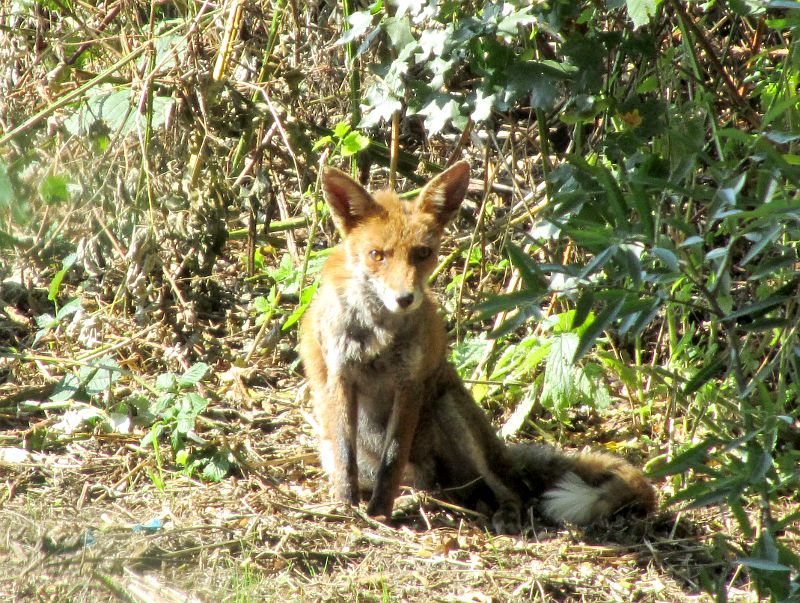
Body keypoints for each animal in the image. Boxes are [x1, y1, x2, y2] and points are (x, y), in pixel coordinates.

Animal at [300, 162, 656, 532]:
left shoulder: (409, 383)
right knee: (429, 484)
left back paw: (503, 514)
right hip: (341, 448)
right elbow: (347, 458)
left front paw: (379, 512)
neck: (378, 331)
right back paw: (419, 500)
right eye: (377, 255)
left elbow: (393, 459)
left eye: (422, 253)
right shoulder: (340, 375)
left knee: (512, 489)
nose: (404, 299)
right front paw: (345, 505)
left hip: (450, 411)